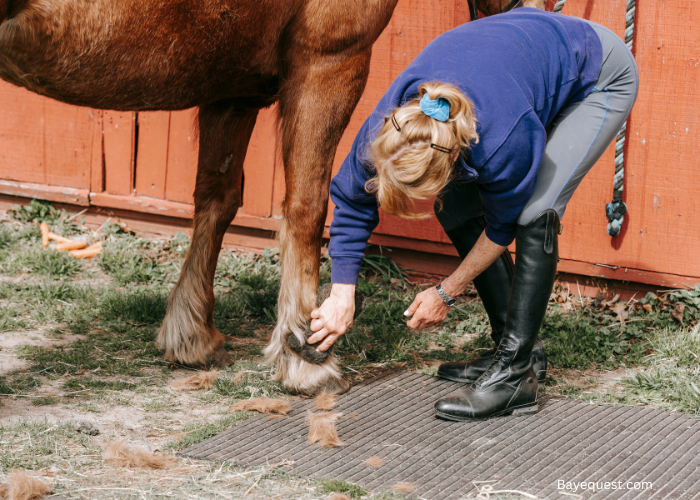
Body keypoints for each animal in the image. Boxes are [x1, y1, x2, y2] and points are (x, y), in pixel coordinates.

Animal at [0, 0, 544, 396]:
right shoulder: (328, 61)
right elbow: (306, 206)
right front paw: (305, 354)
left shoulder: (231, 89)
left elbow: (217, 198)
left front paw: (191, 335)